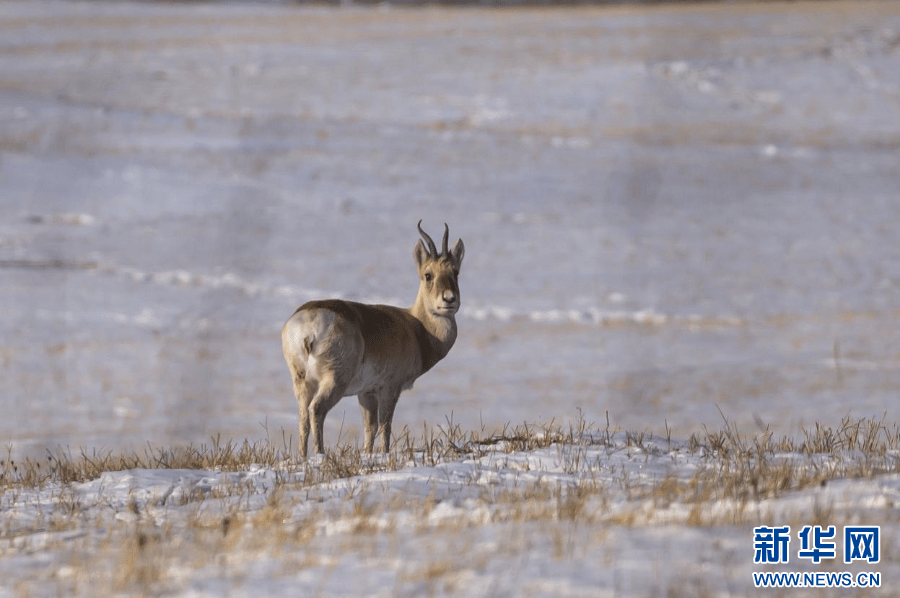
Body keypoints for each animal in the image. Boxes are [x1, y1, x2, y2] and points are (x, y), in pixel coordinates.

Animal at [280, 223, 464, 458]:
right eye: (428, 274)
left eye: (455, 272)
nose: (449, 299)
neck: (415, 325)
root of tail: (307, 321)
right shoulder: (389, 389)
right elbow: (385, 425)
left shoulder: (366, 393)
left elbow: (370, 427)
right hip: (334, 382)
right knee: (317, 409)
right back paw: (320, 454)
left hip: (302, 382)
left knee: (303, 417)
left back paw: (303, 457)